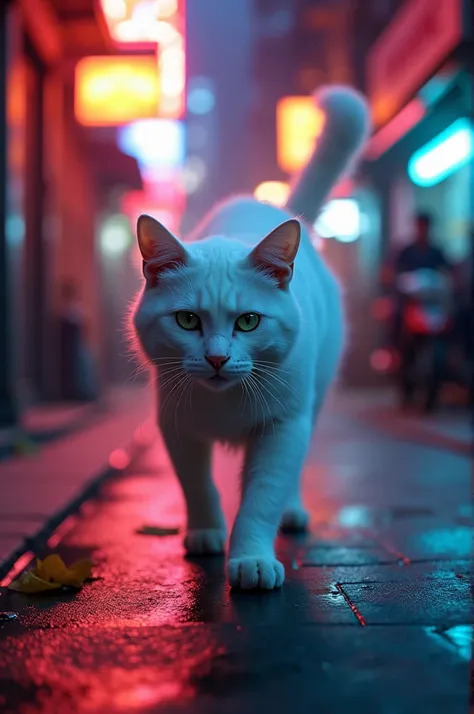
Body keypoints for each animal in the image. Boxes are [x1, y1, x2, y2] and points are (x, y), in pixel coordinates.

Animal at [133, 86, 370, 588]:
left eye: (248, 322)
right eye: (187, 320)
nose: (217, 359)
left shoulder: (281, 428)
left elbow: (262, 500)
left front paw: (251, 560)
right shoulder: (176, 426)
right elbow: (198, 486)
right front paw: (206, 533)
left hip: (312, 402)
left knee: (295, 469)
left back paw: (294, 512)